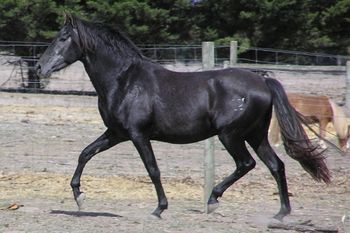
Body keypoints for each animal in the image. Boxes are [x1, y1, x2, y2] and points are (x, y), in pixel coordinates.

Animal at [34, 13, 330, 221]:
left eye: (63, 38)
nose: (39, 67)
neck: (125, 80)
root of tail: (263, 82)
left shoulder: (137, 135)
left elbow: (152, 169)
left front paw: (159, 208)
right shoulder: (116, 133)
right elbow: (85, 153)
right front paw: (79, 196)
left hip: (231, 135)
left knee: (246, 164)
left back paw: (213, 199)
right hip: (256, 136)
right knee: (275, 165)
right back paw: (280, 213)